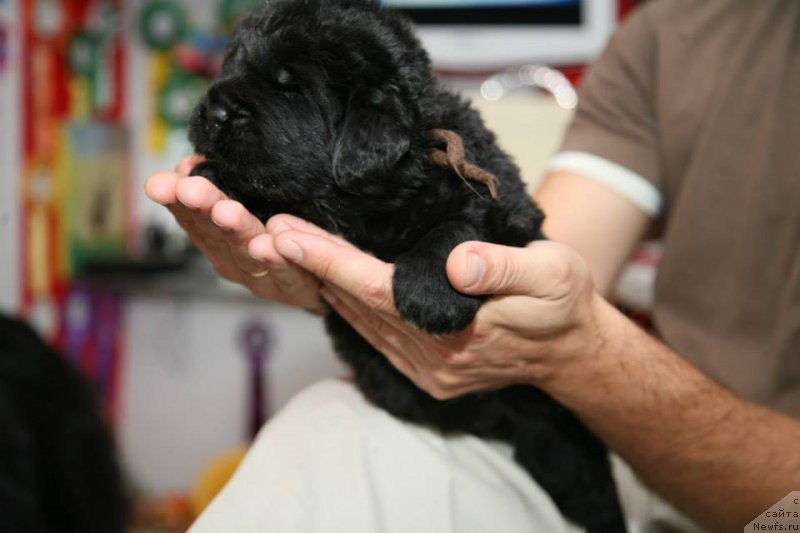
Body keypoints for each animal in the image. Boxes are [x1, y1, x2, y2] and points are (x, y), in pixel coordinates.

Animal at [189, 1, 624, 528]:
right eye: (232, 64)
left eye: (288, 86)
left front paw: (431, 295)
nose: (212, 110)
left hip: (561, 438)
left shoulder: (496, 206)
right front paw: (216, 178)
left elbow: (454, 230)